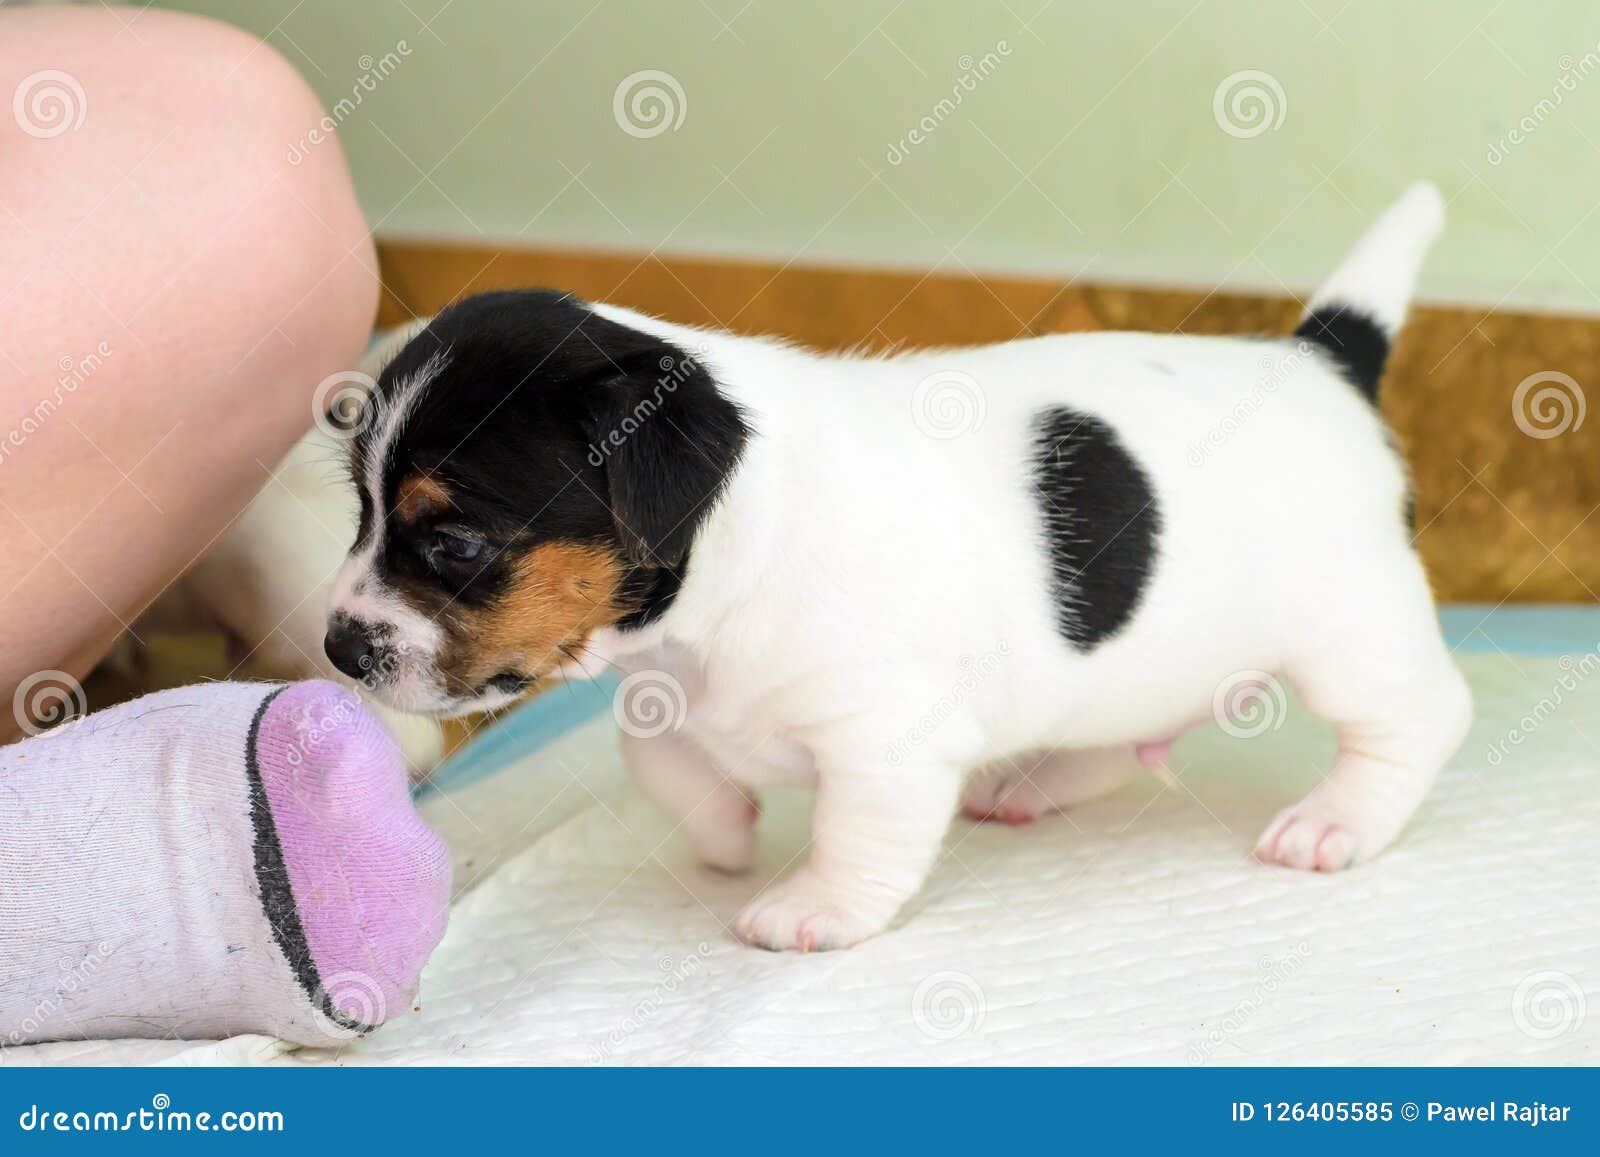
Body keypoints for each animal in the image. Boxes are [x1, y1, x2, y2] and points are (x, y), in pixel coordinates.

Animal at [324, 185, 1472, 947]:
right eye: (361, 510)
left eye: (458, 543)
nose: (336, 647)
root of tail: (1321, 360)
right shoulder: (669, 690)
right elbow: (655, 752)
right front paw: (725, 827)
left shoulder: (883, 739)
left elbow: (853, 831)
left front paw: (812, 905)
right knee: (1129, 731)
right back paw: (1040, 781)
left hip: (1348, 631)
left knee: (1422, 714)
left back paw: (1338, 820)